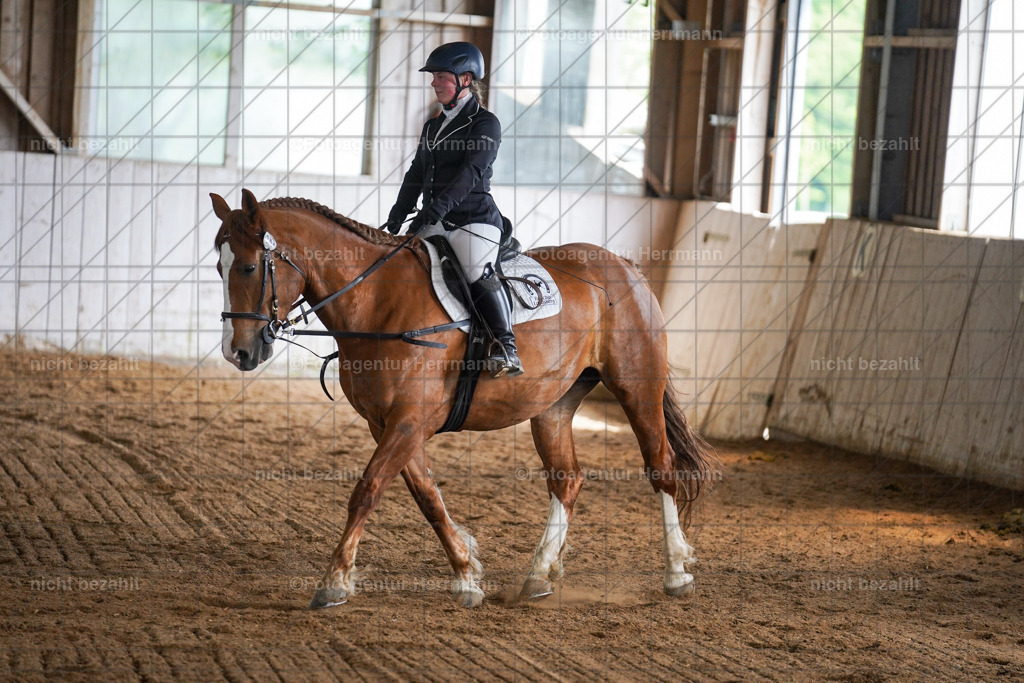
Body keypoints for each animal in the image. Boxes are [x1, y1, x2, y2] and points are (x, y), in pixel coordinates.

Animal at [212, 189, 718, 608]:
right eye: (219, 266)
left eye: (250, 267)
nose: (238, 352)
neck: (376, 301)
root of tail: (626, 267)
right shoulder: (389, 423)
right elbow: (428, 497)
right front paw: (466, 575)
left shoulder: (408, 420)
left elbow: (367, 491)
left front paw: (333, 583)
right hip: (553, 405)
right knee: (567, 480)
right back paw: (538, 576)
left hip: (637, 388)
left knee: (661, 468)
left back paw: (676, 573)